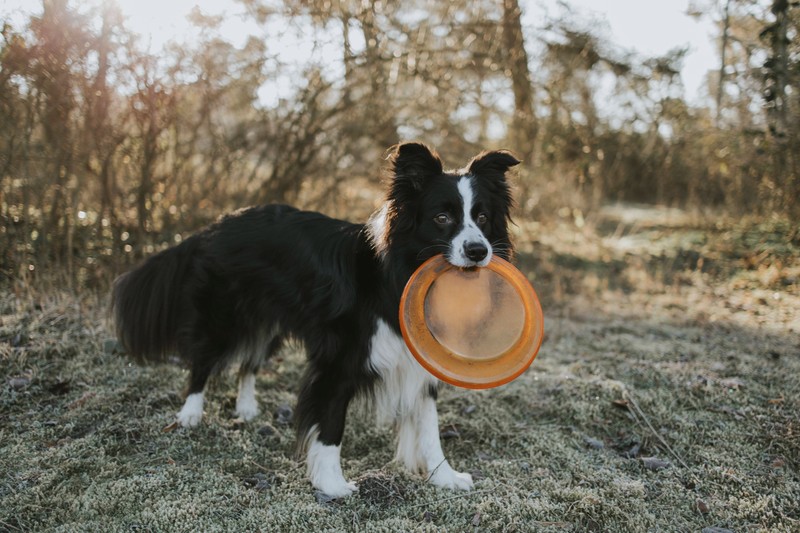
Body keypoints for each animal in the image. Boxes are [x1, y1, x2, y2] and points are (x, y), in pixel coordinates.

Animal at [114, 141, 520, 494]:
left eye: (482, 216)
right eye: (442, 218)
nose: (478, 251)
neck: (397, 273)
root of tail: (215, 226)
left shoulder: (419, 358)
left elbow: (429, 427)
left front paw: (445, 477)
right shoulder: (338, 361)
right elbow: (330, 425)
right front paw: (332, 485)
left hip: (269, 321)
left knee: (250, 361)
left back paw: (246, 408)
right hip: (223, 315)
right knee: (203, 360)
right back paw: (190, 414)